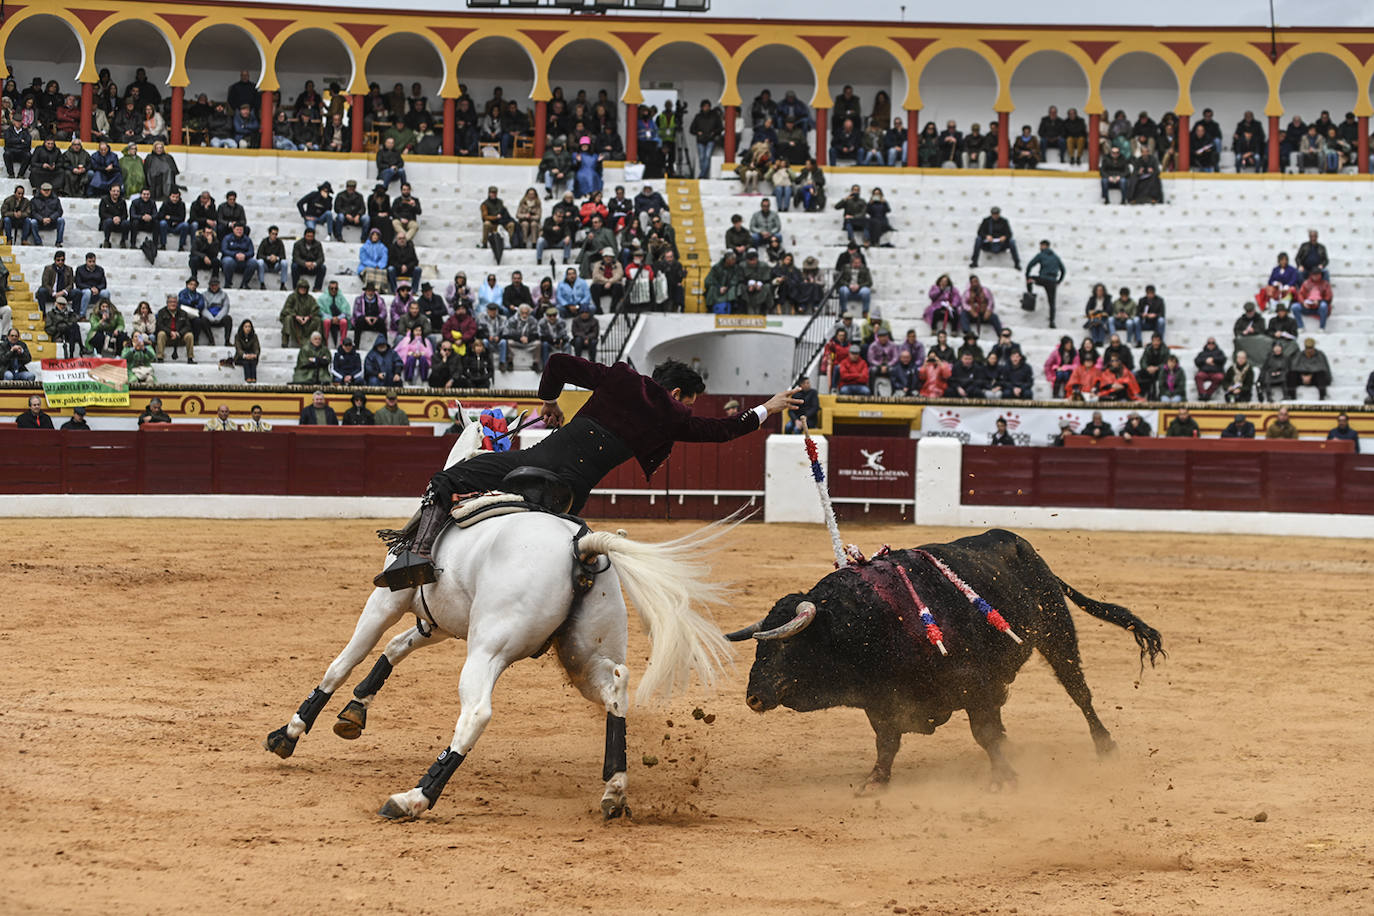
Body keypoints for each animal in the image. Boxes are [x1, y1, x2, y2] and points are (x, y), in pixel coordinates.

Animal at [267, 450, 741, 818]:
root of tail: (581, 547)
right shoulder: (440, 623)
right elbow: (396, 648)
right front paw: (355, 711)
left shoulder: (387, 601)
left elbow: (344, 661)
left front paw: (290, 732)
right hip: (581, 654)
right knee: (616, 687)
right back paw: (614, 790)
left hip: (488, 649)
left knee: (476, 712)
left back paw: (414, 797)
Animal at [725, 530, 1165, 791]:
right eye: (759, 648)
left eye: (786, 647)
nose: (753, 697)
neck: (869, 621)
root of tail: (1022, 546)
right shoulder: (881, 699)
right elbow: (886, 741)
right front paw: (876, 781)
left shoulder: (973, 684)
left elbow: (983, 732)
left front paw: (1004, 779)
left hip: (1057, 632)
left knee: (1078, 691)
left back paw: (1105, 746)